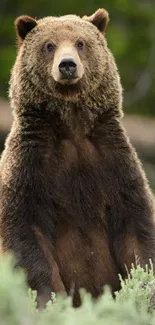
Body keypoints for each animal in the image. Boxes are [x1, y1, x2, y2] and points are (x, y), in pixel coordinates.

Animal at [0, 7, 155, 306]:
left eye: (81, 43)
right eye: (49, 45)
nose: (67, 65)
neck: (72, 127)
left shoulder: (113, 164)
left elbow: (137, 227)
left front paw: (143, 284)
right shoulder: (31, 166)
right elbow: (26, 233)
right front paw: (53, 297)